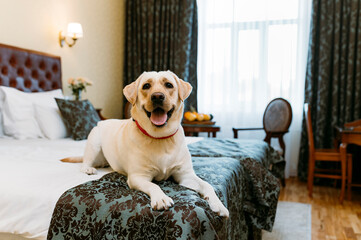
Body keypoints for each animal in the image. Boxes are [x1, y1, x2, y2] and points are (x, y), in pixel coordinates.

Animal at [61, 70, 226, 217]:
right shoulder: (138, 177)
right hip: (94, 141)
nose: (157, 96)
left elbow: (207, 185)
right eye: (146, 86)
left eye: (169, 85)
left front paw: (218, 204)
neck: (160, 138)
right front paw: (161, 198)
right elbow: (153, 184)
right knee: (85, 161)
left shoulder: (185, 175)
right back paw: (89, 168)